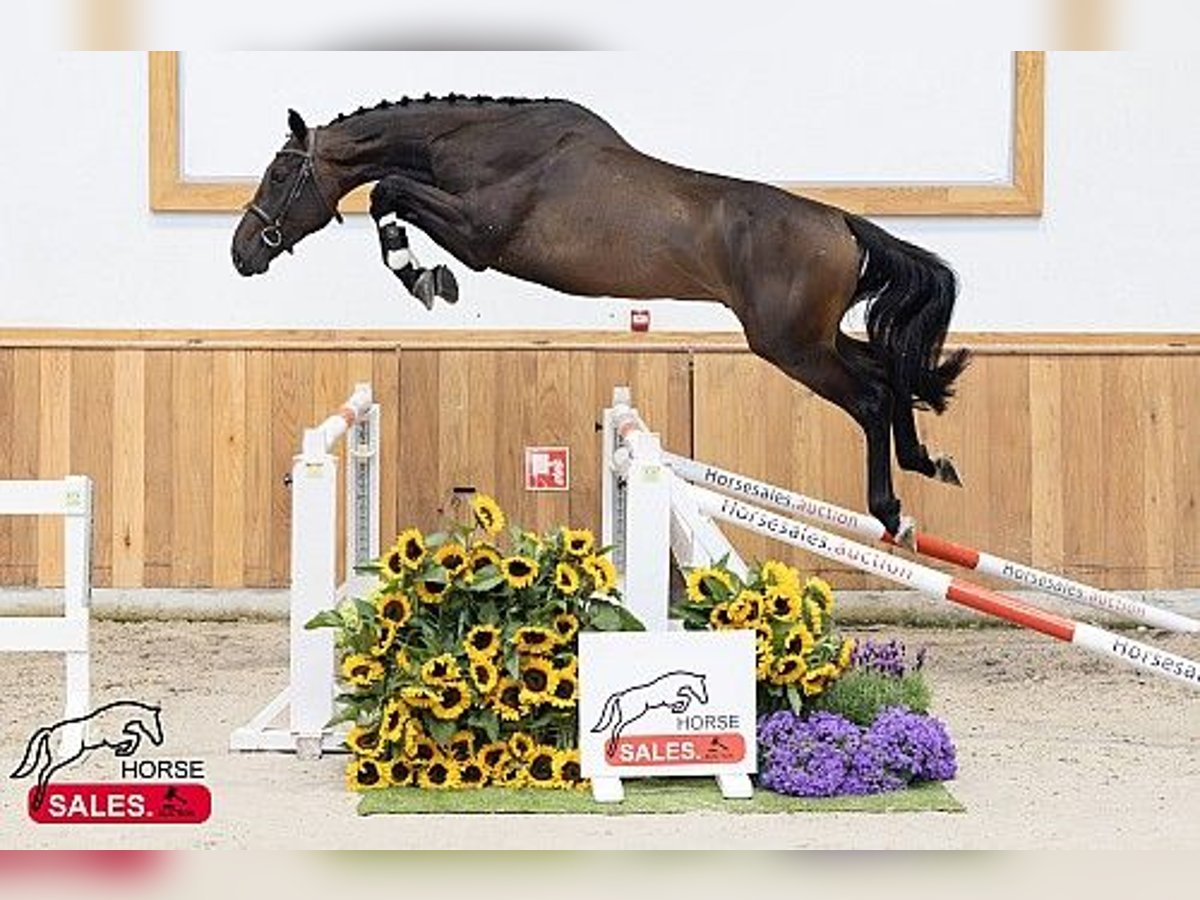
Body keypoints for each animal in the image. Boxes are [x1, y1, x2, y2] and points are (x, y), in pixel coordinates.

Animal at [230, 97, 970, 539]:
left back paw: (890, 509)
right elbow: (392, 192)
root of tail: (843, 223)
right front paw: (423, 277)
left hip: (791, 346)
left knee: (871, 395)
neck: (480, 142)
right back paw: (927, 461)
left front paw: (425, 280)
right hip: (814, 338)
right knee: (890, 372)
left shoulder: (480, 237)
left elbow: (389, 191)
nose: (241, 253)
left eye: (279, 175)